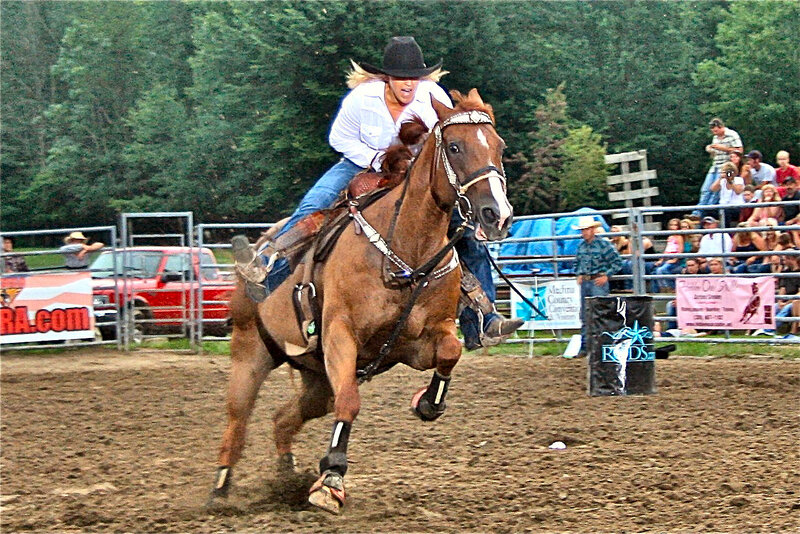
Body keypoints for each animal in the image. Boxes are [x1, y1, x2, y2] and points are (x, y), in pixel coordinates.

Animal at [207, 89, 513, 514]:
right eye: (454, 147)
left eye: (499, 147)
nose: (497, 215)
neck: (406, 249)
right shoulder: (340, 334)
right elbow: (350, 402)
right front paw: (331, 479)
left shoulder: (418, 342)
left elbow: (450, 352)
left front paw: (427, 402)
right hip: (249, 351)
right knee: (238, 420)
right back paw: (220, 488)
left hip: (316, 379)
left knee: (283, 418)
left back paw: (286, 478)